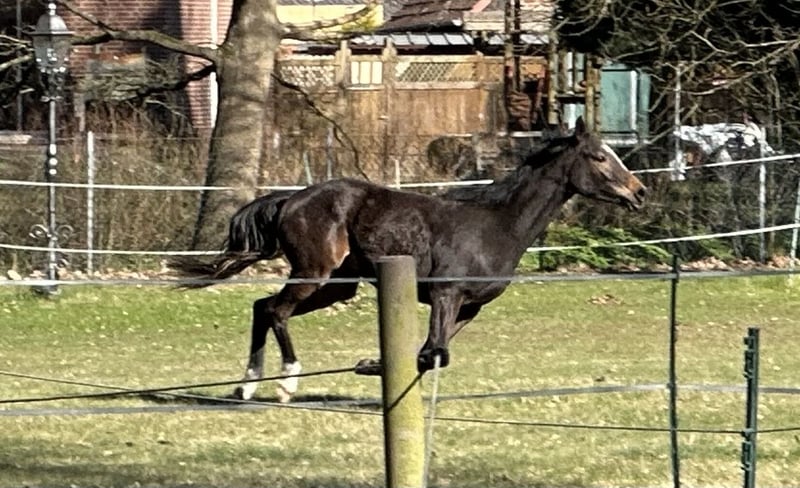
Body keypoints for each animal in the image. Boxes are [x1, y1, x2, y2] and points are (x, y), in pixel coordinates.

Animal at [171, 117, 647, 402]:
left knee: (261, 307)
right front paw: (373, 367)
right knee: (275, 310)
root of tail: (290, 199)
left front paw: (373, 365)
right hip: (314, 272)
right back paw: (286, 380)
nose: (639, 192)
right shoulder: (446, 295)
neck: (496, 225)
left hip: (337, 287)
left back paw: (247, 386)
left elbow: (429, 354)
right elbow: (435, 352)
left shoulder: (468, 309)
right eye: (599, 157)